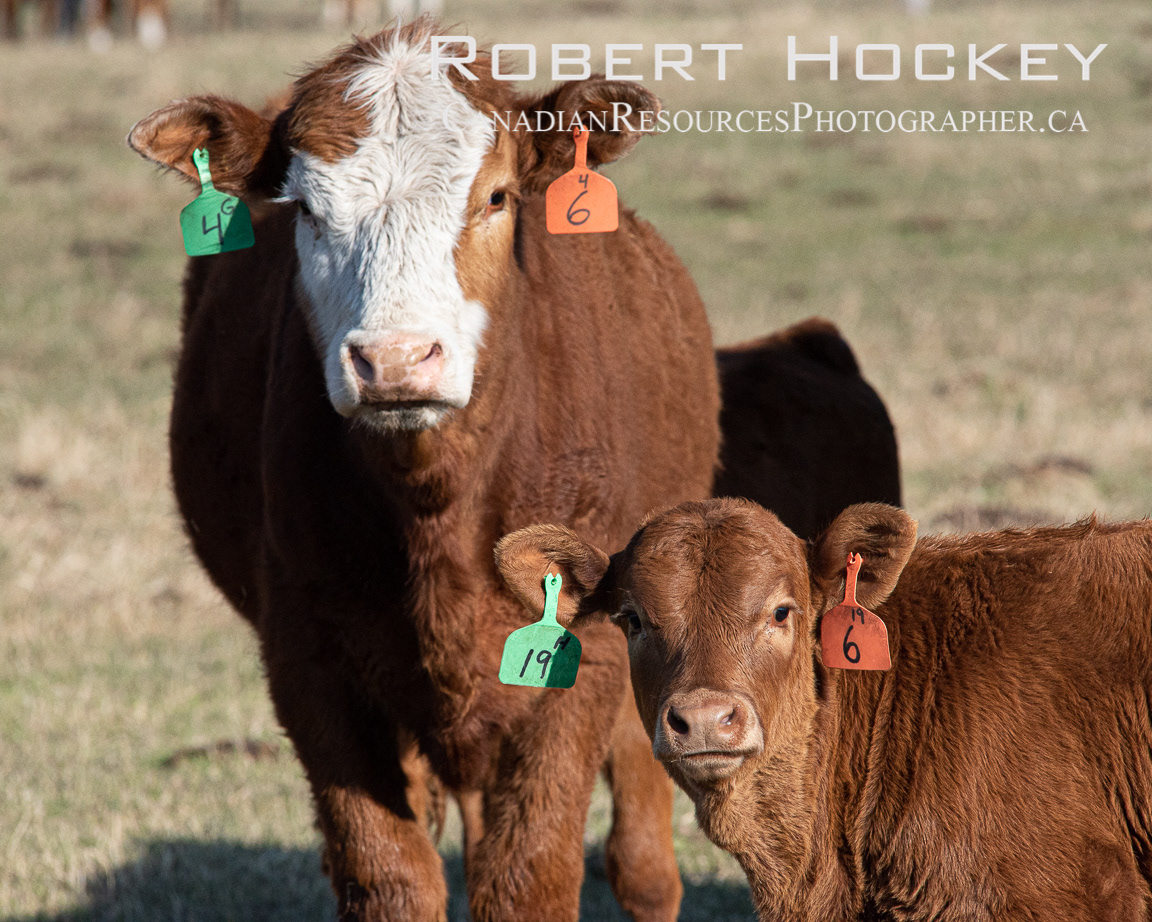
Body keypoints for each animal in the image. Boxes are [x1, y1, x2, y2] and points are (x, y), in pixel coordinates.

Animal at [128, 18, 719, 921]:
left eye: (498, 197)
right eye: (304, 210)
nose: (397, 359)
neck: (441, 508)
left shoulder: (581, 665)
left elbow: (530, 874)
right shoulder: (309, 662)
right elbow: (389, 875)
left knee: (643, 858)